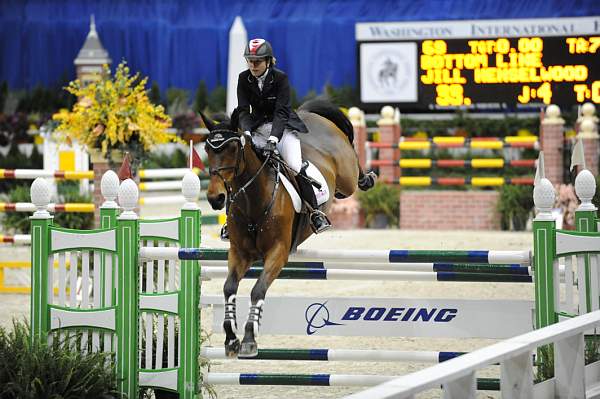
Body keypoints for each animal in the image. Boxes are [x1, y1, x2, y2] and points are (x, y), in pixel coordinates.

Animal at [202, 101, 376, 360]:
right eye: (207, 149)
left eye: (233, 148)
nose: (216, 198)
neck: (254, 200)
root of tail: (308, 114)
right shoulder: (239, 253)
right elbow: (229, 288)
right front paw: (231, 339)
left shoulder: (278, 252)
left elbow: (257, 290)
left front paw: (249, 339)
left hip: (346, 176)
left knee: (353, 168)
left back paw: (367, 178)